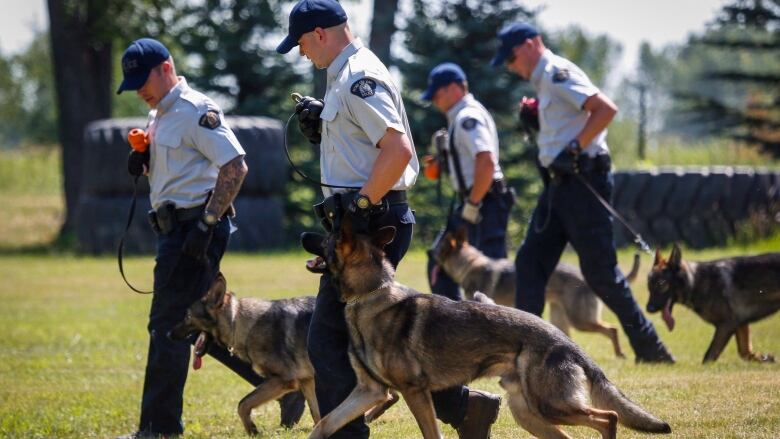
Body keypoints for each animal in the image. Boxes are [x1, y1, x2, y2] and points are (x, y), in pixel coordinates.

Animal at [169, 276, 318, 434]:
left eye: (188, 316)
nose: (168, 334)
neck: (236, 322)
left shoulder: (282, 380)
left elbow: (243, 403)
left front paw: (252, 429)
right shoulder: (307, 381)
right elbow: (317, 413)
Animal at [430, 229, 636, 360]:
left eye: (438, 250)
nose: (428, 253)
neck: (469, 264)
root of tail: (585, 279)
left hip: (579, 319)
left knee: (612, 329)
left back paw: (620, 354)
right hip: (560, 317)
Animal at [644, 244, 780, 364]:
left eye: (661, 283)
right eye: (649, 285)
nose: (648, 309)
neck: (695, 282)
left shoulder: (726, 325)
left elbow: (708, 357)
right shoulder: (740, 323)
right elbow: (745, 352)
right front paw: (764, 358)